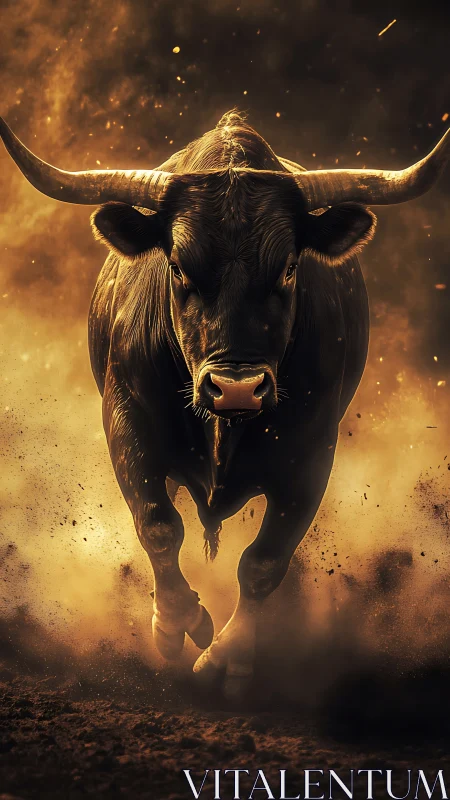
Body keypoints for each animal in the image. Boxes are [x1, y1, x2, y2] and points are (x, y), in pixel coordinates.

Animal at [1, 110, 449, 698]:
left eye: (288, 268)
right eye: (177, 267)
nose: (236, 388)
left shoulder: (312, 451)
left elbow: (264, 560)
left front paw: (225, 656)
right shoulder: (127, 421)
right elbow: (158, 525)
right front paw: (176, 625)